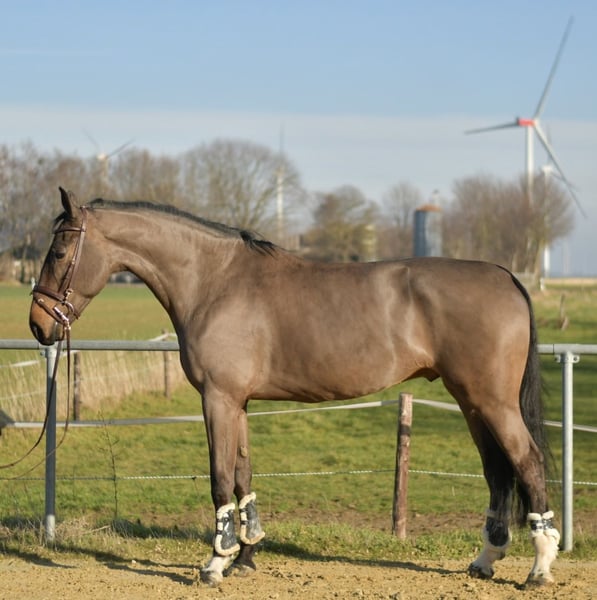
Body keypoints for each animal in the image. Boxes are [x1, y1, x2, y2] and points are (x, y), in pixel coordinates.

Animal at [29, 188, 560, 587]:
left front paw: (215, 564)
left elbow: (219, 477)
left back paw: (538, 568)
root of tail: (507, 276)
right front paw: (245, 557)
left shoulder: (217, 399)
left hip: (492, 403)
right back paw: (485, 561)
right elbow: (242, 475)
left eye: (58, 251)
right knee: (498, 472)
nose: (38, 324)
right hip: (471, 403)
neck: (215, 281)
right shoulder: (238, 403)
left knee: (527, 462)